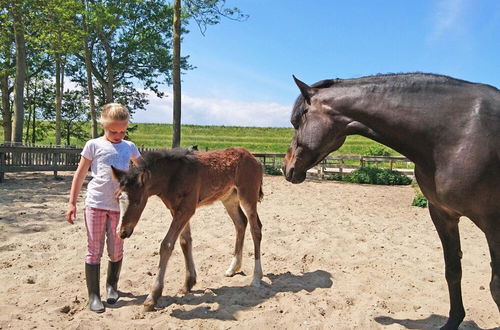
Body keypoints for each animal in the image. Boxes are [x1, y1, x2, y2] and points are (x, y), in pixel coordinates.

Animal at [111, 147, 264, 312]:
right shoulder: (176, 210)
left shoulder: (187, 209)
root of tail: (253, 158)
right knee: (240, 223)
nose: (122, 232)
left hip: (248, 196)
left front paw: (152, 297)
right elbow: (185, 242)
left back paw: (256, 277)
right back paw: (233, 268)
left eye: (137, 202)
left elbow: (166, 245)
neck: (174, 175)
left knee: (256, 229)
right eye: (117, 197)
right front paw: (188, 283)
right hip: (229, 197)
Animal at [284, 73, 498, 328]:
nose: (286, 167)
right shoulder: (443, 215)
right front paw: (452, 321)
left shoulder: (493, 224)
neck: (456, 135)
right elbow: (453, 270)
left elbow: (496, 286)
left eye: (297, 121)